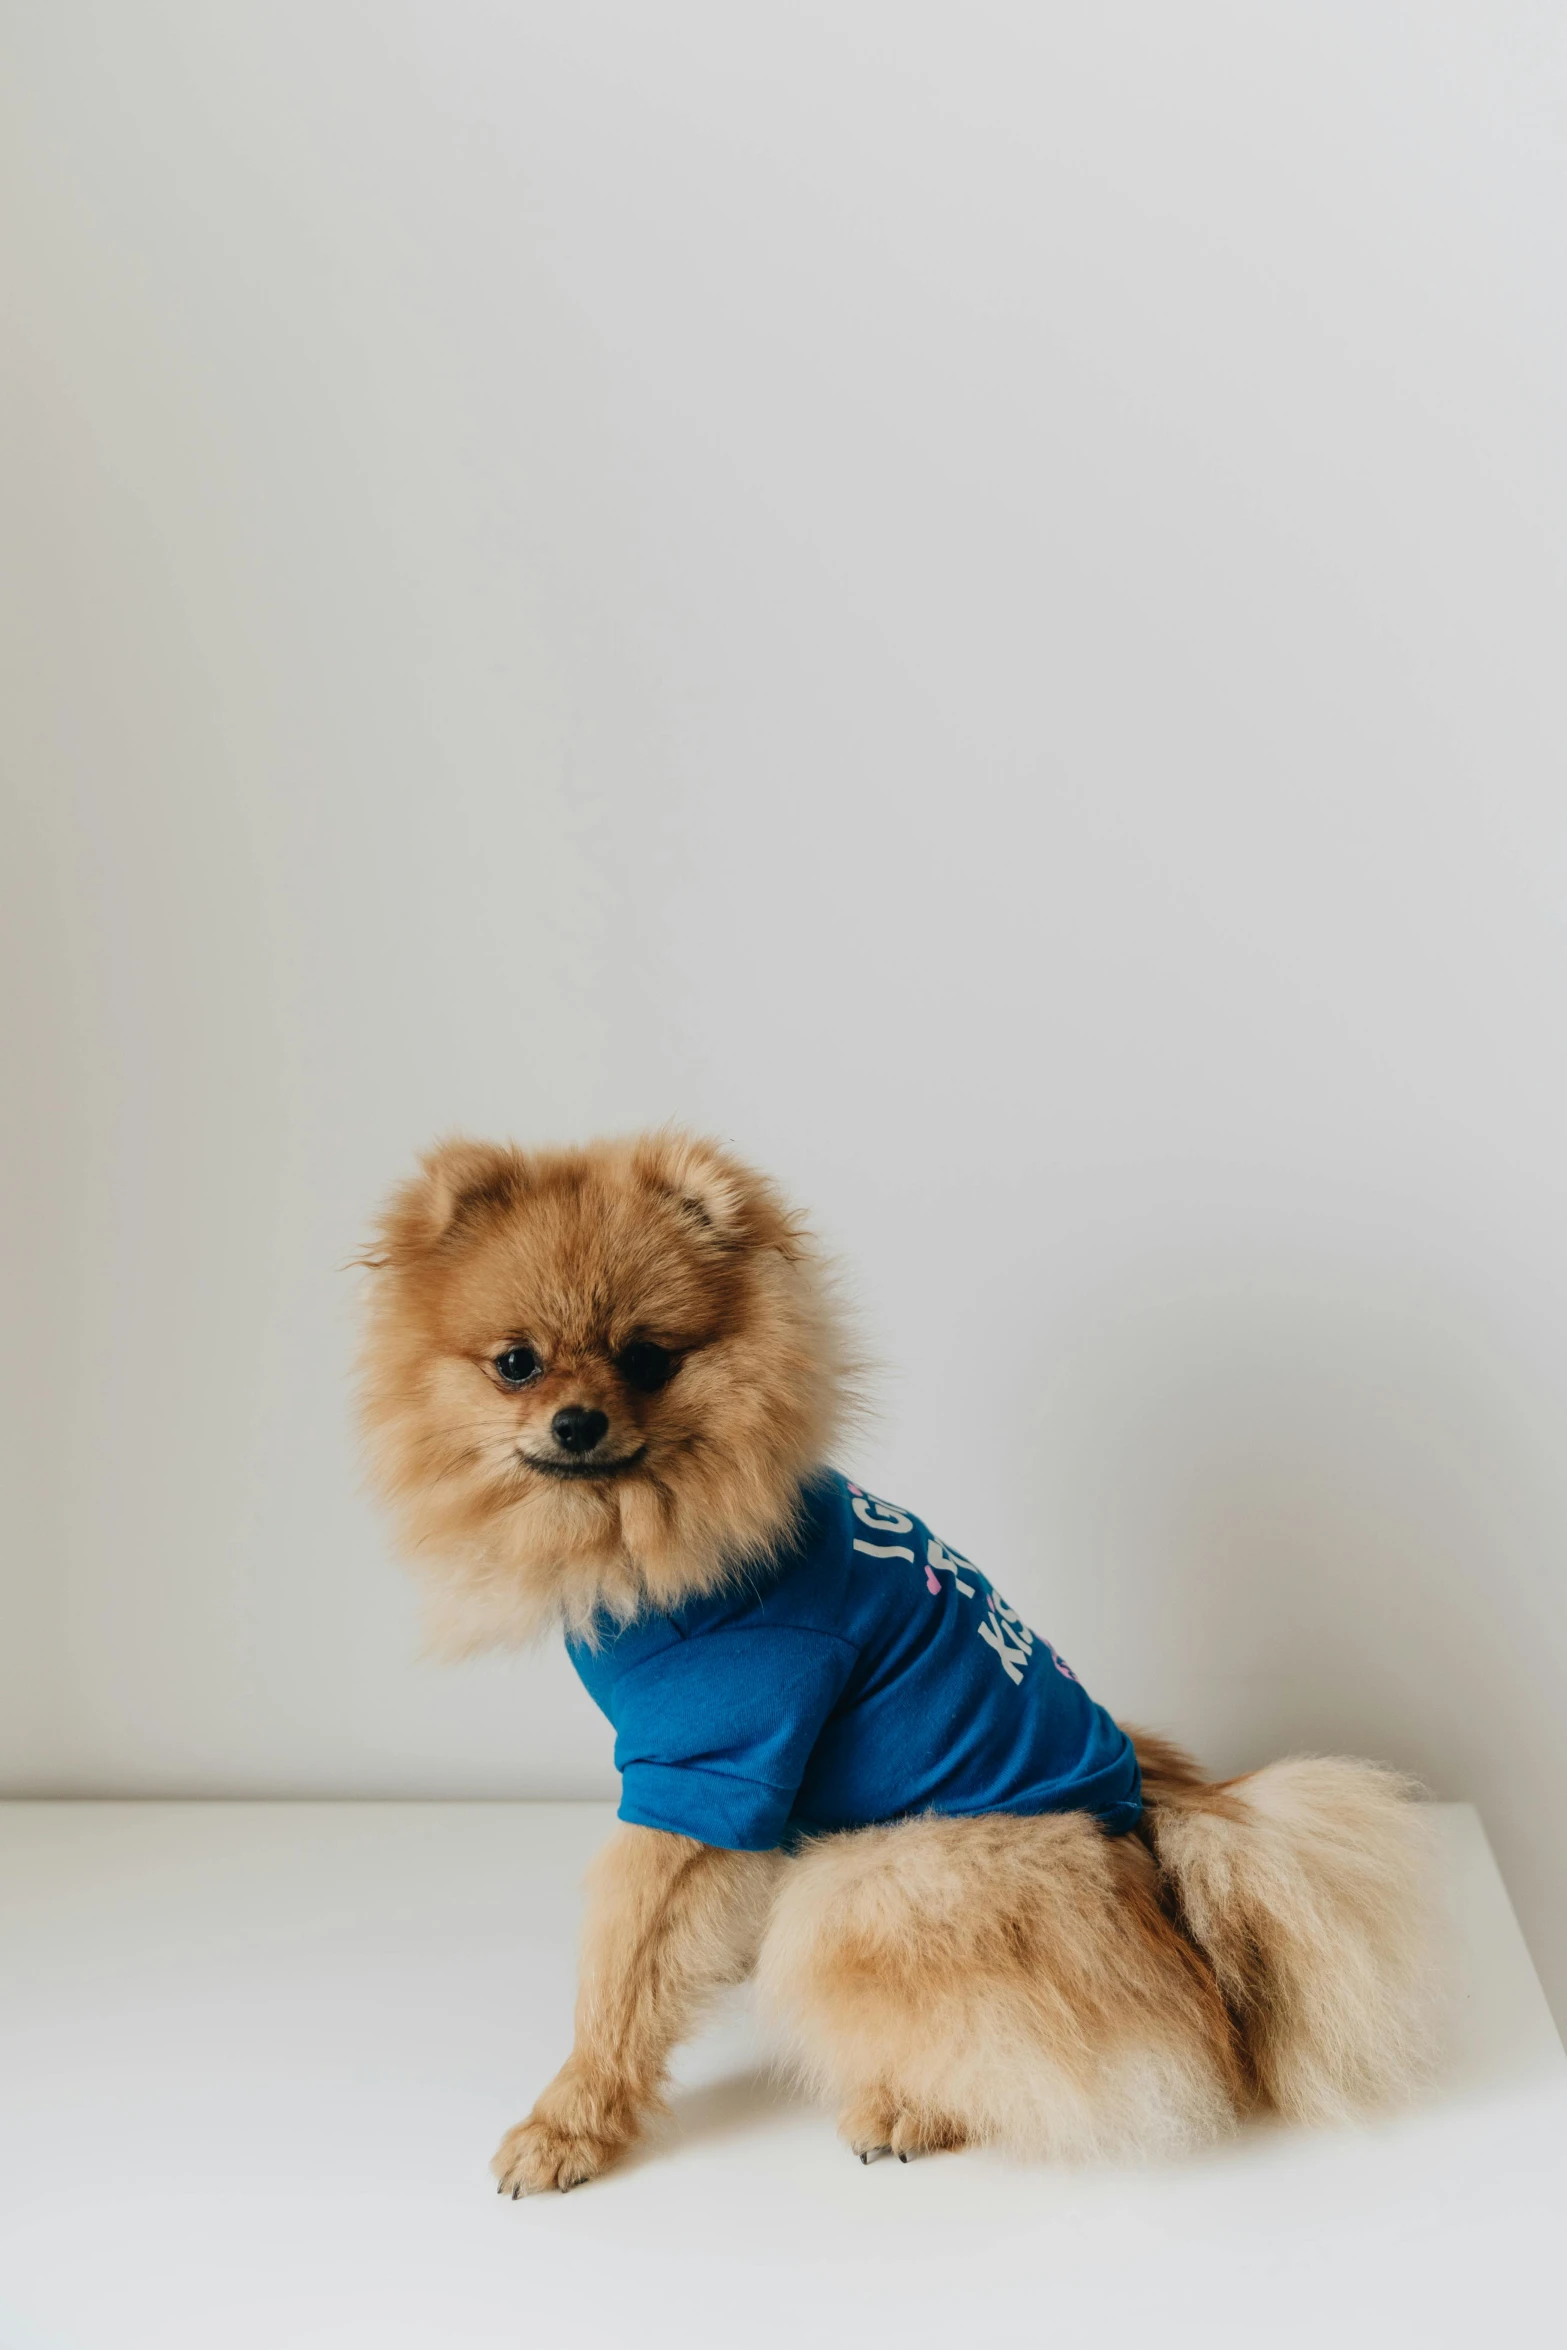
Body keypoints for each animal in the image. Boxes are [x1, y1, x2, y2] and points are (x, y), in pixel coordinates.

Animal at [361, 1128, 1437, 2190]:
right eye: (515, 1363)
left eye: (647, 1358)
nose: (576, 1422)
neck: (663, 1525)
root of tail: (1153, 1841)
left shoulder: (711, 1757)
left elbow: (622, 1967)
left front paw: (571, 2121)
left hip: (886, 1875)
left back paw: (911, 2104)